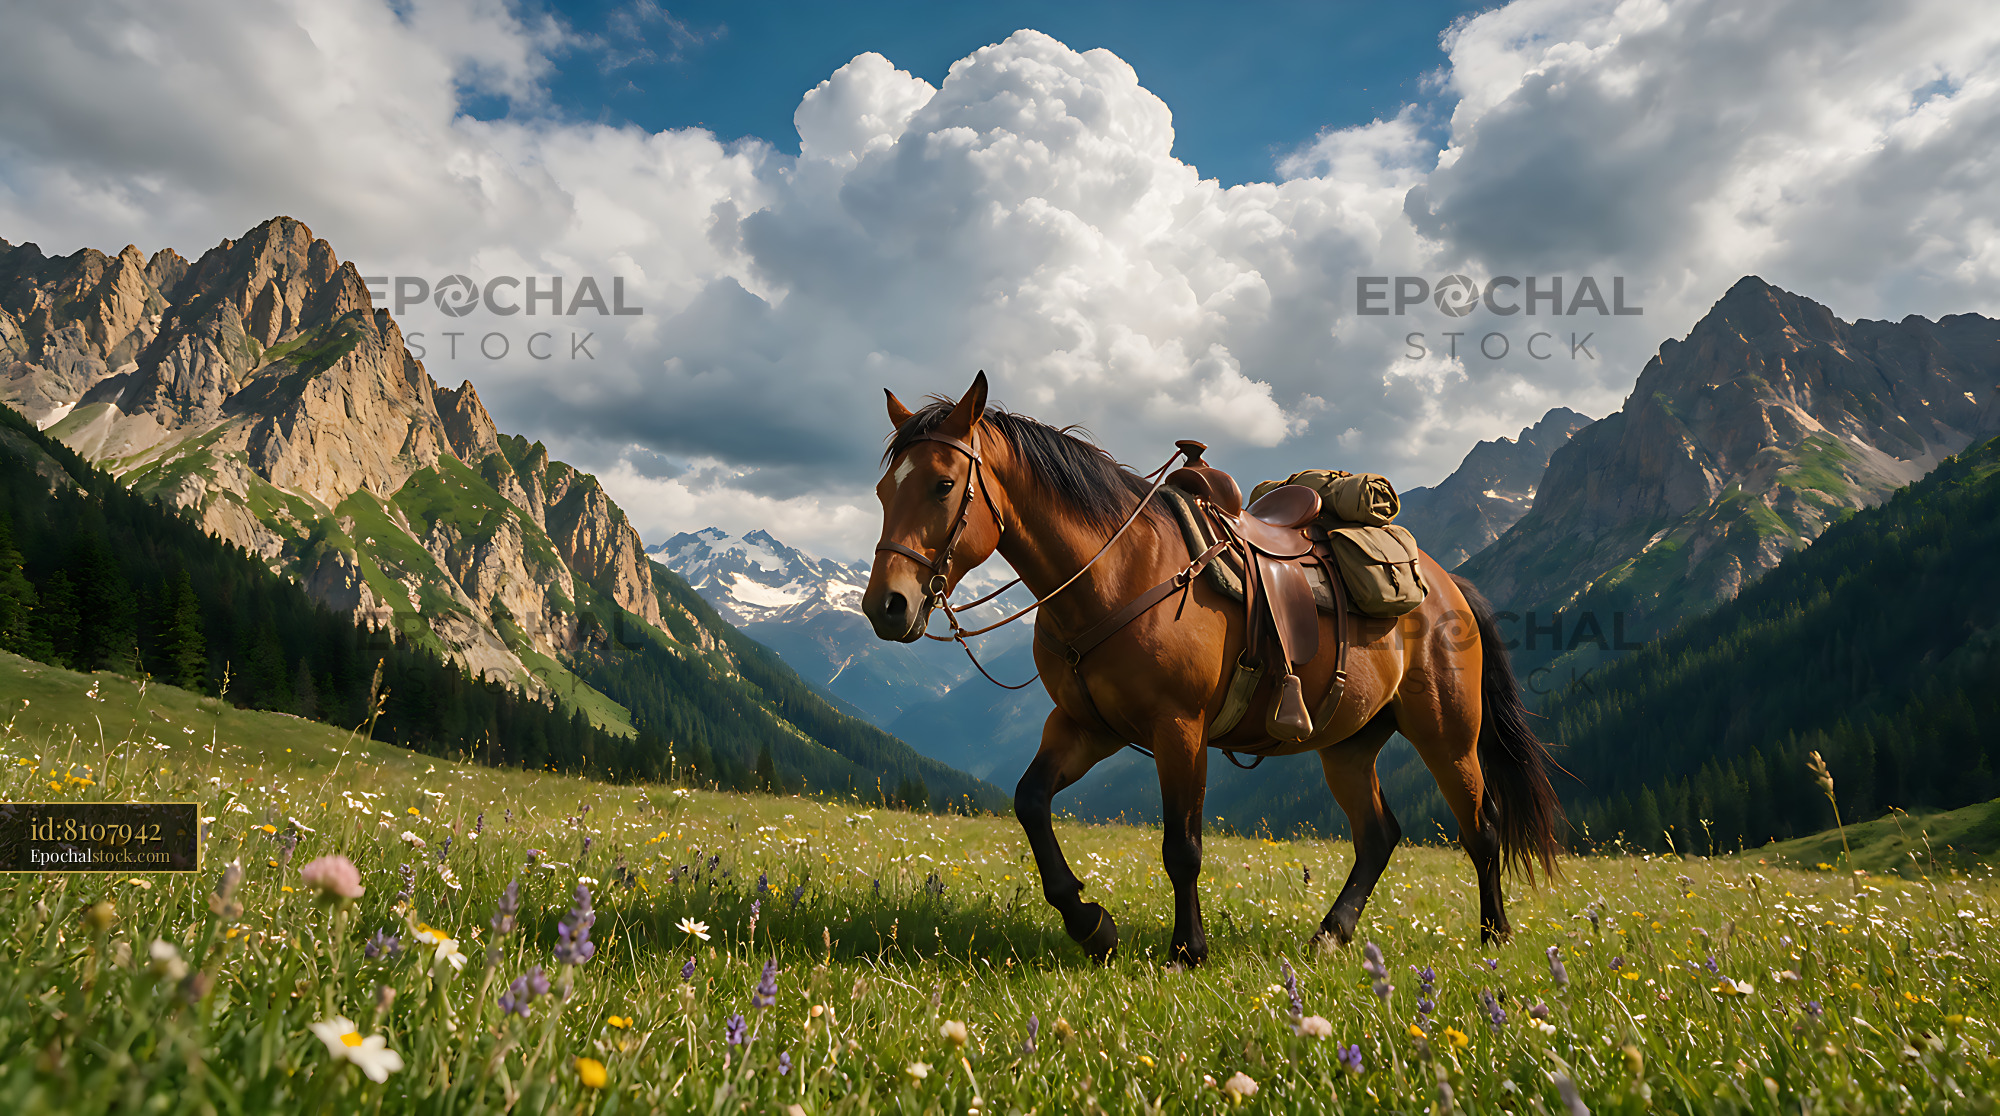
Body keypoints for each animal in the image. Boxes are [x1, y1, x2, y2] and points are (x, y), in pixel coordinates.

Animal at [861, 371, 1563, 965]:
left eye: (943, 485)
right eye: (881, 490)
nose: (885, 605)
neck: (1116, 571)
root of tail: (1449, 587)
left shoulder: (1180, 728)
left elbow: (1183, 846)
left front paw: (1186, 951)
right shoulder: (1087, 725)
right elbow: (1030, 801)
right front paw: (1091, 925)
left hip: (1448, 734)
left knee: (1481, 828)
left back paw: (1493, 937)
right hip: (1349, 744)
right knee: (1378, 834)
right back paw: (1331, 936)